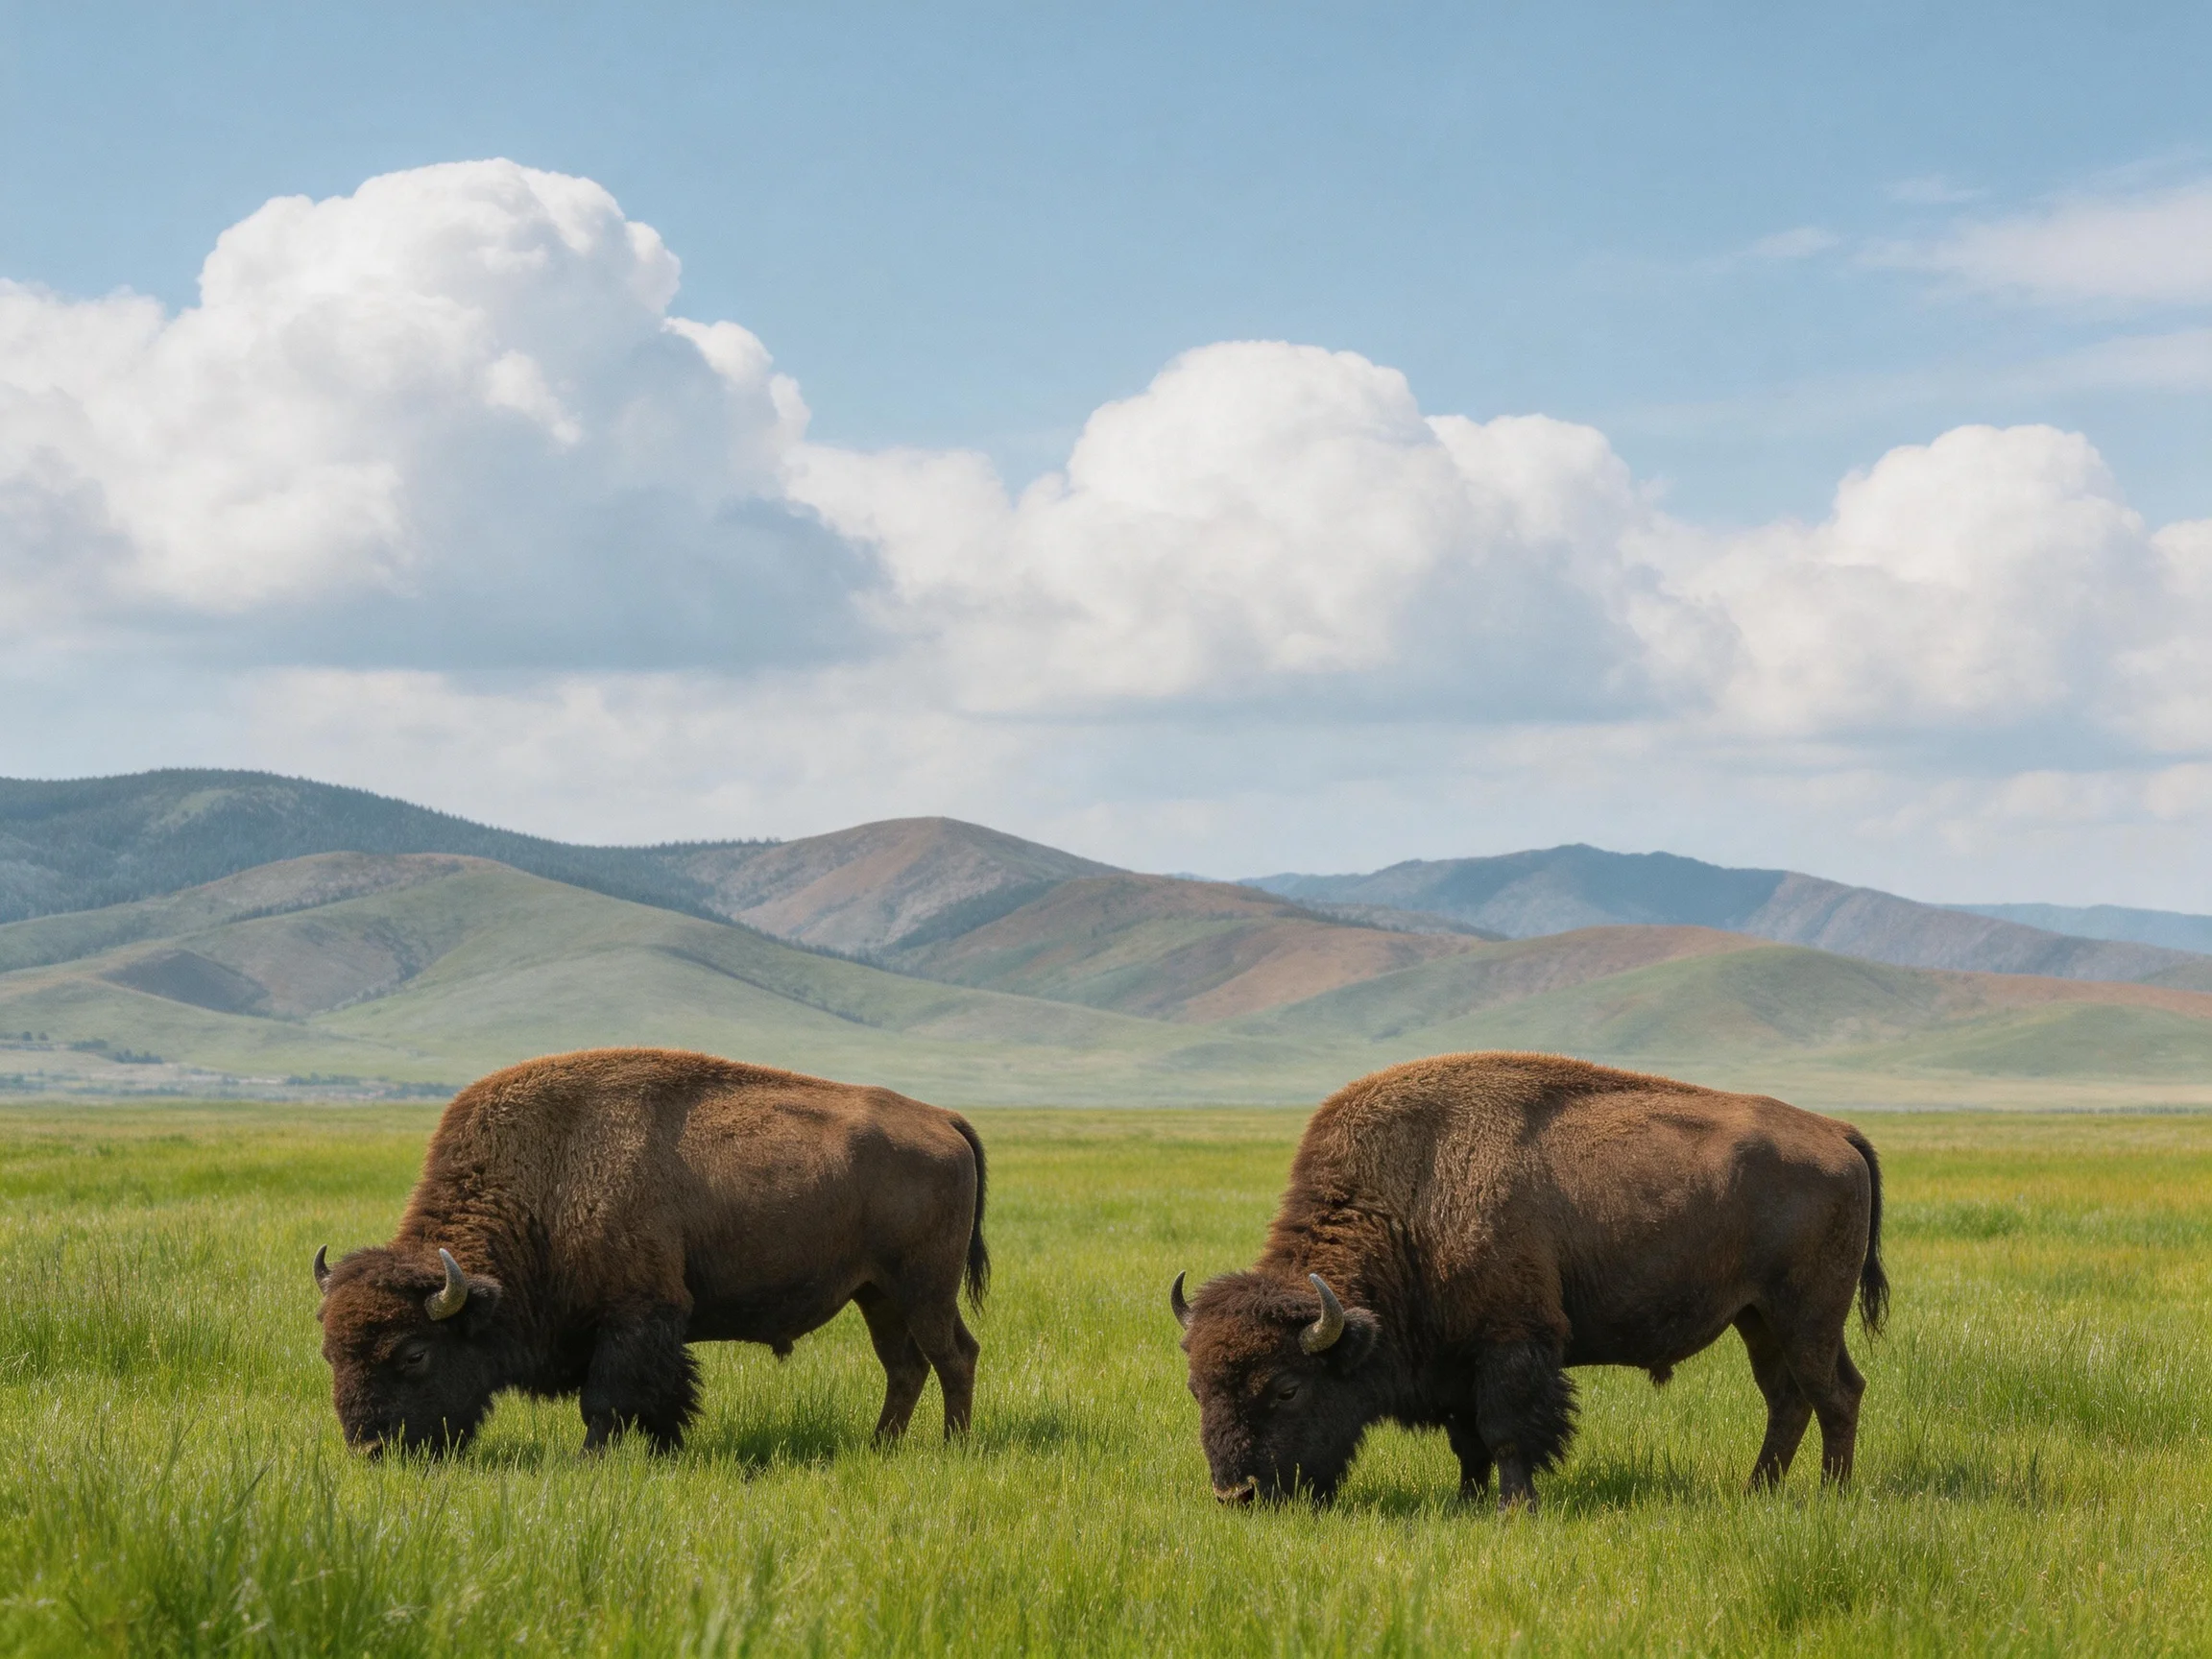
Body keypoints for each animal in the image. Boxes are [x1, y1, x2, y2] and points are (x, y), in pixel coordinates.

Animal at [314, 1048, 987, 1455]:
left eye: (414, 1354)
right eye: (329, 1354)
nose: (370, 1449)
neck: (546, 1182)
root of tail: (942, 1119)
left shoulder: (635, 1316)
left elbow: (607, 1401)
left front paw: (592, 1462)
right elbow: (662, 1396)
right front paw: (667, 1451)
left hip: (923, 1289)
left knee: (953, 1356)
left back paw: (951, 1449)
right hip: (877, 1295)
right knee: (905, 1367)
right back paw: (880, 1447)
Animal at [1172, 1052, 1885, 1510]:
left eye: (1288, 1388)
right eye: (1196, 1388)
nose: (1236, 1494)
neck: (1407, 1205)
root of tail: (1835, 1132)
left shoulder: (1511, 1342)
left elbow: (1506, 1430)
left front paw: (1515, 1507)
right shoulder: (1455, 1365)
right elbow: (1468, 1444)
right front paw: (1466, 1501)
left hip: (1807, 1315)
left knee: (1835, 1394)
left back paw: (1831, 1495)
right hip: (1757, 1319)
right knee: (1788, 1398)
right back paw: (1757, 1491)